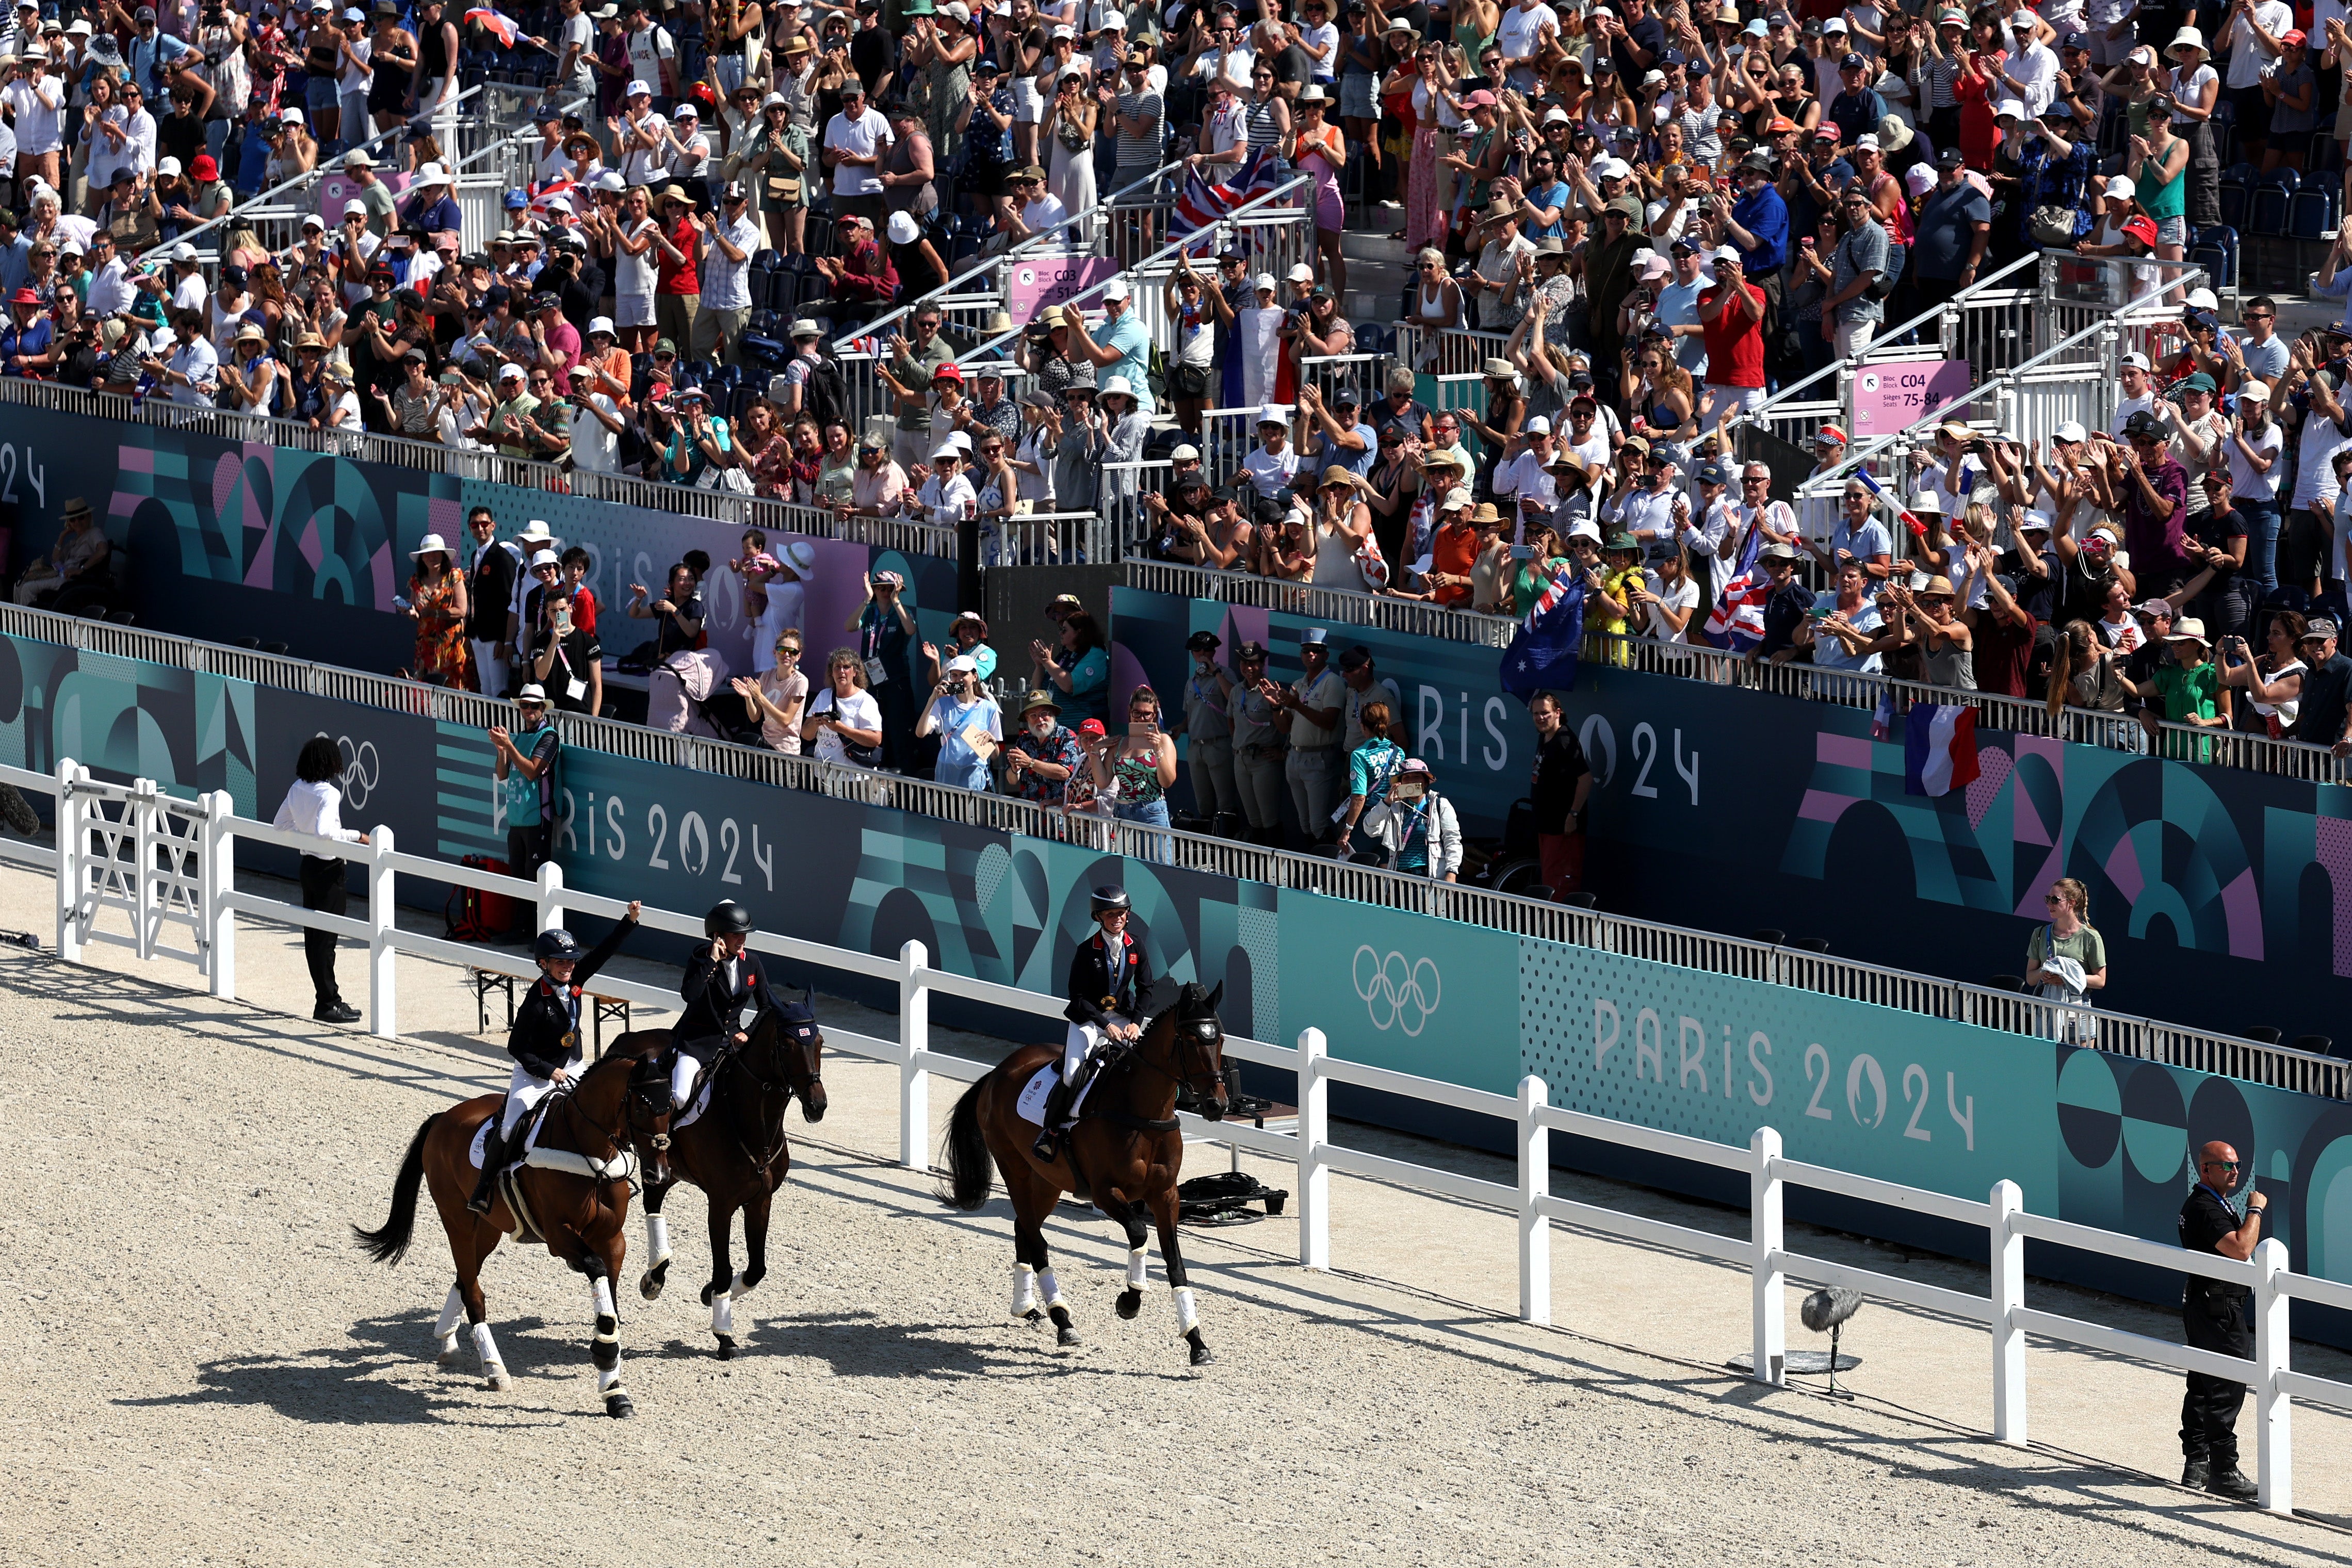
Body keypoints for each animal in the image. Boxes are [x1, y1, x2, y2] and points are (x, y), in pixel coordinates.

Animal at [352, 1034, 677, 1419]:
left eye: (672, 1106)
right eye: (642, 1109)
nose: (659, 1174)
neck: (587, 1149)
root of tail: (445, 1117)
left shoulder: (612, 1239)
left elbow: (609, 1307)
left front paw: (614, 1390)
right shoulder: (560, 1237)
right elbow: (599, 1285)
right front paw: (605, 1363)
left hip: (488, 1229)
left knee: (465, 1278)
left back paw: (447, 1341)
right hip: (457, 1220)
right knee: (473, 1291)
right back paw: (495, 1370)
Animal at [630, 1001, 832, 1354]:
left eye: (819, 1042)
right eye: (787, 1045)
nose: (817, 1105)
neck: (754, 1123)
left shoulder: (760, 1200)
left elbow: (756, 1269)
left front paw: (707, 1293)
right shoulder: (721, 1204)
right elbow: (724, 1270)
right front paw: (724, 1336)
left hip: (671, 1172)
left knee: (653, 1205)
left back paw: (656, 1275)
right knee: (648, 1203)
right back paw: (654, 1278)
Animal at [936, 983, 1232, 1363]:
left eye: (1219, 1039)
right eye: (1191, 1040)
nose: (1216, 1106)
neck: (1144, 1115)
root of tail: (999, 1071)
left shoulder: (1166, 1195)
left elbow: (1176, 1264)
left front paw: (1196, 1341)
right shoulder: (1106, 1192)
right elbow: (1139, 1234)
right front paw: (1129, 1302)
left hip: (1048, 1182)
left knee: (1023, 1228)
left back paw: (1027, 1307)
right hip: (1014, 1168)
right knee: (1037, 1240)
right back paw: (1062, 1320)